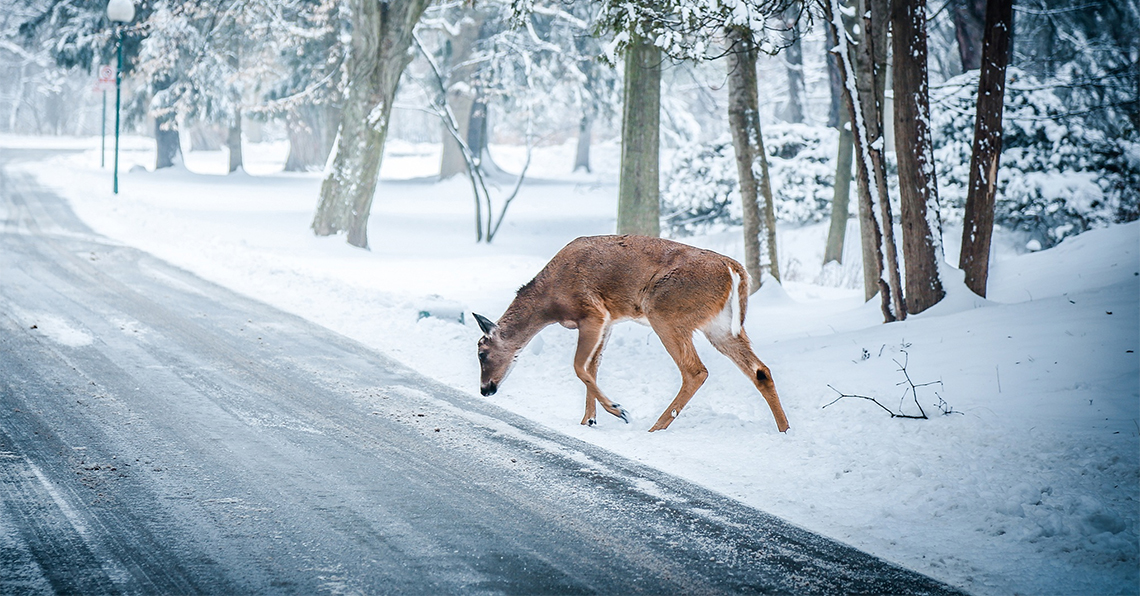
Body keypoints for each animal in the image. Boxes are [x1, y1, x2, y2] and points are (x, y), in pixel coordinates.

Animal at [469, 234, 784, 433]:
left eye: (482, 352)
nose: (485, 390)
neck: (550, 302)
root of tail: (735, 270)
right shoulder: (608, 320)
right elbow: (592, 368)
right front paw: (589, 421)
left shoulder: (592, 312)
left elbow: (579, 367)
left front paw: (618, 410)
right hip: (719, 325)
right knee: (760, 370)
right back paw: (784, 430)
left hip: (665, 311)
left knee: (696, 371)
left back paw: (655, 427)